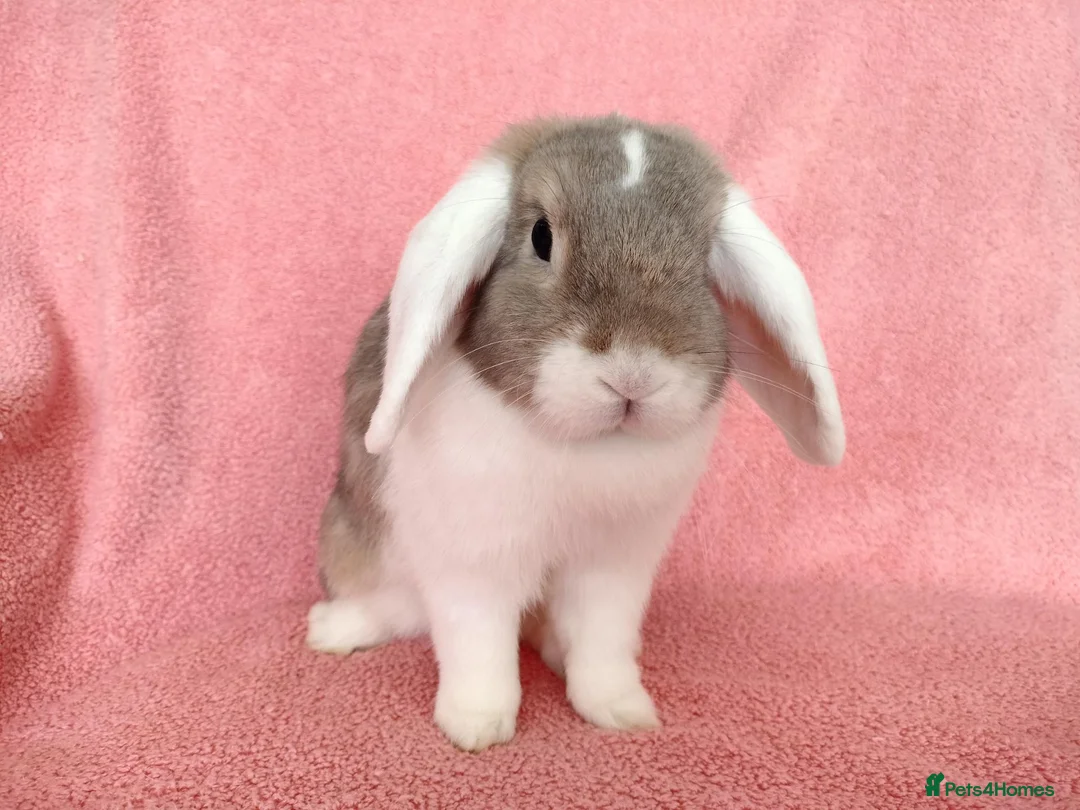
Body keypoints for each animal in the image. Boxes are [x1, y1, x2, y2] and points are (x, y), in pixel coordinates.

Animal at [306, 114, 845, 752]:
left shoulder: (615, 566)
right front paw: (476, 725)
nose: (633, 374)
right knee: (399, 607)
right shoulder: (475, 557)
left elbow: (601, 641)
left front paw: (621, 709)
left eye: (706, 256)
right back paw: (332, 629)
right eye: (542, 237)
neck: (589, 448)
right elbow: (477, 643)